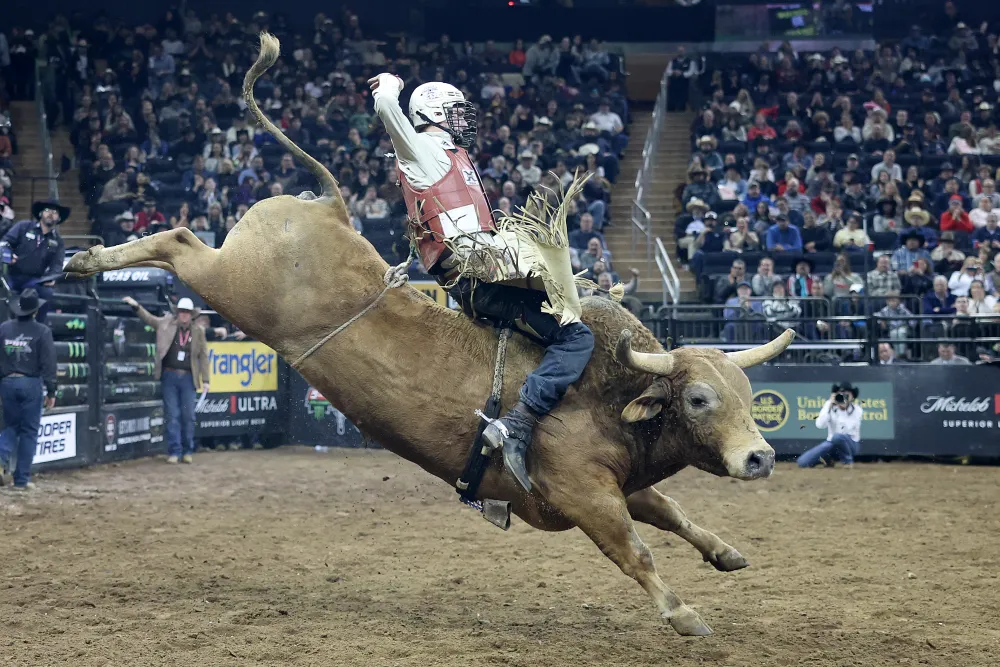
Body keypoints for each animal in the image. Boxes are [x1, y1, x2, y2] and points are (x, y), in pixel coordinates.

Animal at [64, 33, 794, 636]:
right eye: (698, 398)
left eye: (747, 393)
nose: (760, 458)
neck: (606, 392)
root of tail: (328, 208)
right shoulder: (585, 494)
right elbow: (635, 549)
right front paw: (683, 612)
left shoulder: (627, 483)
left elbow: (670, 511)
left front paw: (725, 550)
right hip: (231, 283)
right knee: (179, 239)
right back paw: (88, 259)